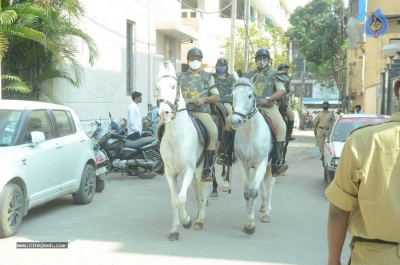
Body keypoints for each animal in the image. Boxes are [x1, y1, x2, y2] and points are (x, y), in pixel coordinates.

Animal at [156, 60, 216, 240]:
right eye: (157, 88)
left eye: (173, 86)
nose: (163, 113)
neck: (176, 137)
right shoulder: (170, 173)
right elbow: (174, 200)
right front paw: (175, 229)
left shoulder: (188, 170)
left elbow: (182, 198)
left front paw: (186, 221)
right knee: (196, 189)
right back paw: (198, 212)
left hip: (204, 167)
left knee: (205, 189)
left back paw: (200, 219)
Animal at [230, 76, 276, 233]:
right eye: (233, 95)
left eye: (250, 95)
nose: (236, 121)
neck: (250, 134)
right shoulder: (243, 164)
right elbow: (247, 192)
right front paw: (248, 218)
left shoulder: (262, 163)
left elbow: (253, 192)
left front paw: (250, 224)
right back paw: (263, 206)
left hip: (272, 165)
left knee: (269, 183)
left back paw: (267, 212)